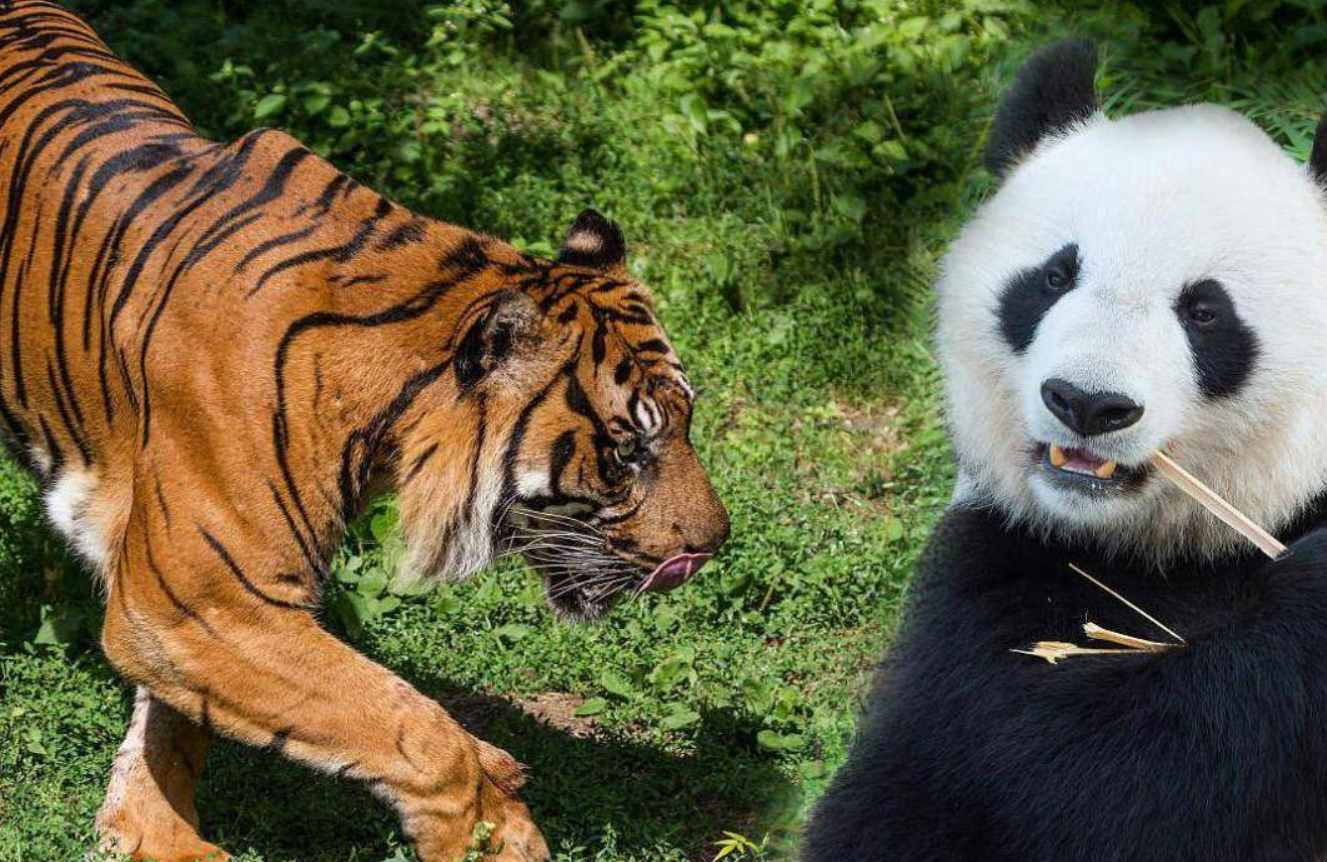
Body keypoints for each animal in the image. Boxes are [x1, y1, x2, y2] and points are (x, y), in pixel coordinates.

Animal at [0, 3, 730, 860]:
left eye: (685, 422)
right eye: (626, 450)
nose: (714, 545)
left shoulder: (178, 599)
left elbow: (175, 727)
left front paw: (148, 830)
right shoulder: (207, 599)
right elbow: (411, 726)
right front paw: (488, 830)